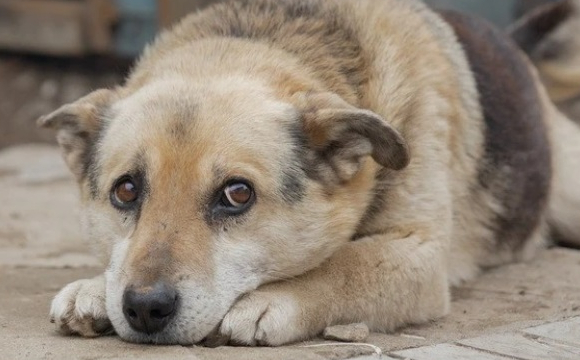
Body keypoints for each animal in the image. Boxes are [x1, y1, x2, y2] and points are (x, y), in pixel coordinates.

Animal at [39, 0, 580, 346]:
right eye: (126, 190)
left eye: (237, 194)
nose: (145, 308)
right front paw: (95, 287)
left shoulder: (421, 254)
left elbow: (345, 262)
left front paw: (274, 299)